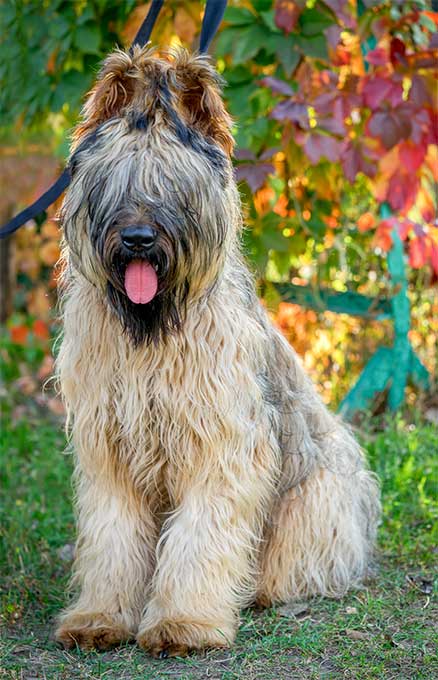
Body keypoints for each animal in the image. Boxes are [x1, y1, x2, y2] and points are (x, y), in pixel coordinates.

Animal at [53, 43, 378, 660]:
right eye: (117, 182)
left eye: (176, 187)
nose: (138, 240)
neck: (153, 330)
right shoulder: (110, 450)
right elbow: (112, 536)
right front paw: (99, 616)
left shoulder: (220, 445)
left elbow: (200, 536)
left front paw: (184, 622)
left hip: (317, 495)